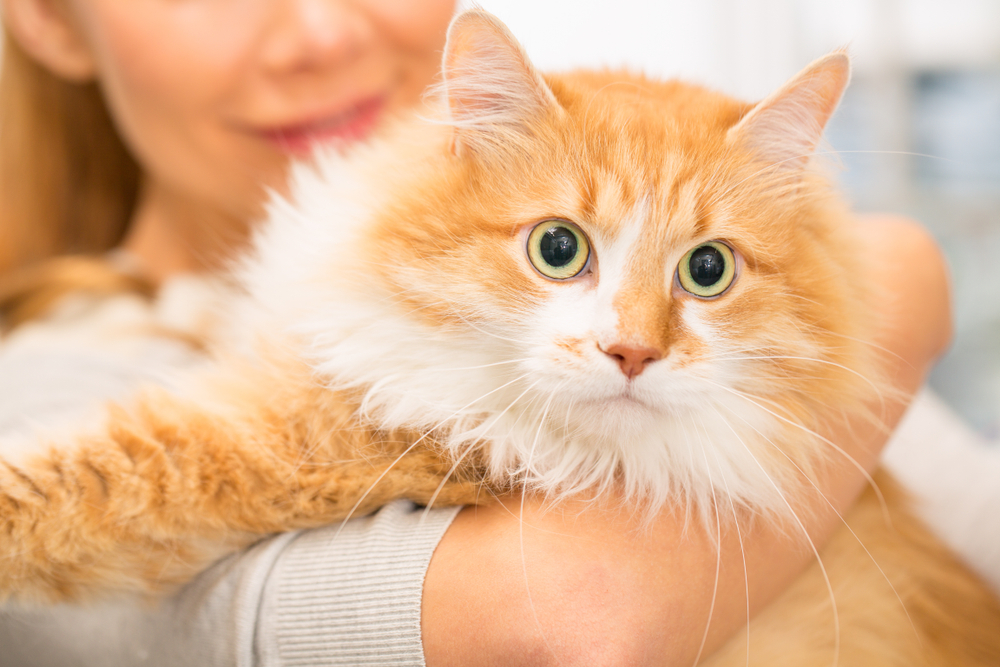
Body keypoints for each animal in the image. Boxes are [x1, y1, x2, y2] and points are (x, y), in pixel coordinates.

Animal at [1, 7, 1000, 664]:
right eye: (558, 248)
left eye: (708, 271)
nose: (633, 352)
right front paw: (141, 301)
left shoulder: (290, 441)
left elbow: (69, 481)